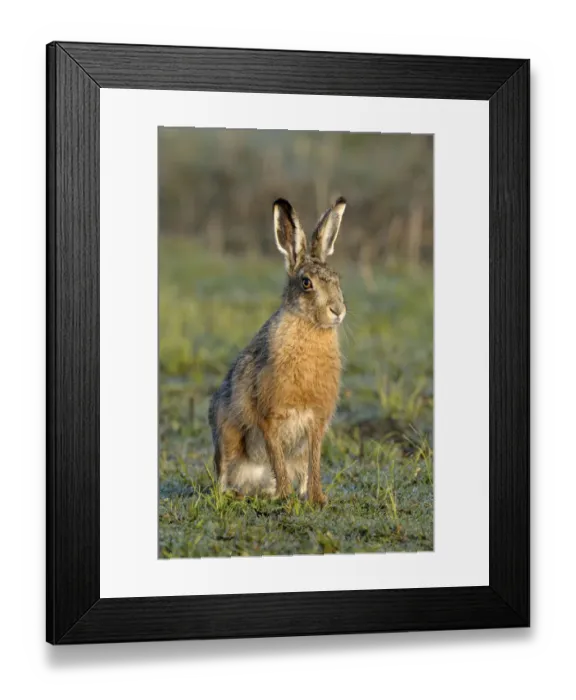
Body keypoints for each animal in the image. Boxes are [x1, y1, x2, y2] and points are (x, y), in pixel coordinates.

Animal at [208, 197, 347, 506]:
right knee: (223, 477)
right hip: (227, 436)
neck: (310, 327)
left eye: (337, 279)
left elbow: (315, 463)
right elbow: (276, 456)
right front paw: (284, 497)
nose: (338, 311)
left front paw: (318, 499)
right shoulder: (269, 416)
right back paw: (242, 495)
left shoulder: (316, 422)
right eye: (306, 283)